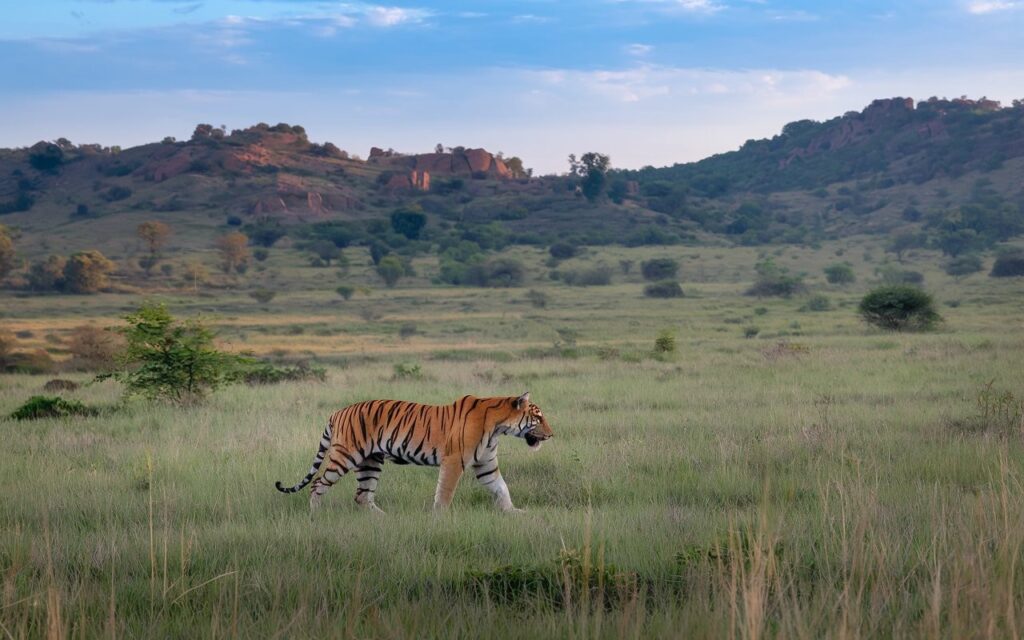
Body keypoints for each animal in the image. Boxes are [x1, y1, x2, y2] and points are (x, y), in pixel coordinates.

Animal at [275, 392, 553, 513]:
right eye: (538, 418)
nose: (551, 435)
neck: (498, 426)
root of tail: (337, 412)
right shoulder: (454, 461)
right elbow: (445, 492)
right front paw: (440, 518)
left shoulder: (486, 464)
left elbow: (501, 488)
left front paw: (514, 513)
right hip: (345, 456)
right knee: (318, 484)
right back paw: (315, 515)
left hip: (370, 462)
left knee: (362, 496)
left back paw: (384, 520)